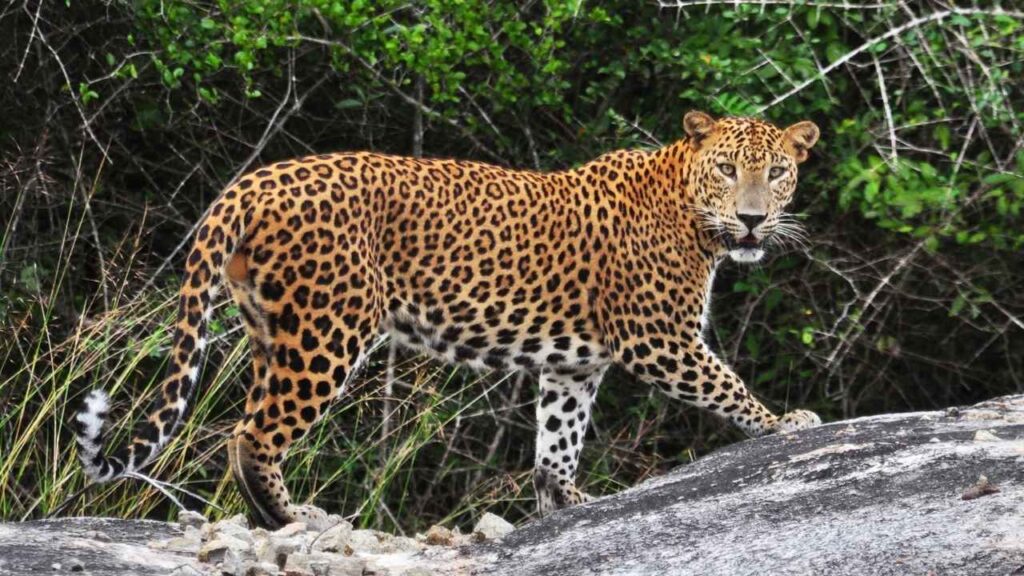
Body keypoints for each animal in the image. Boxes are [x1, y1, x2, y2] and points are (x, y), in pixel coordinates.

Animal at [75, 111, 822, 529]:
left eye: (778, 172)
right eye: (727, 169)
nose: (752, 218)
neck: (694, 214)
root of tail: (252, 180)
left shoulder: (574, 364)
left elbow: (557, 439)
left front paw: (565, 503)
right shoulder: (658, 337)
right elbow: (726, 384)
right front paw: (787, 422)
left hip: (273, 332)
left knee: (249, 424)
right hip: (328, 329)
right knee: (253, 434)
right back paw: (292, 518)